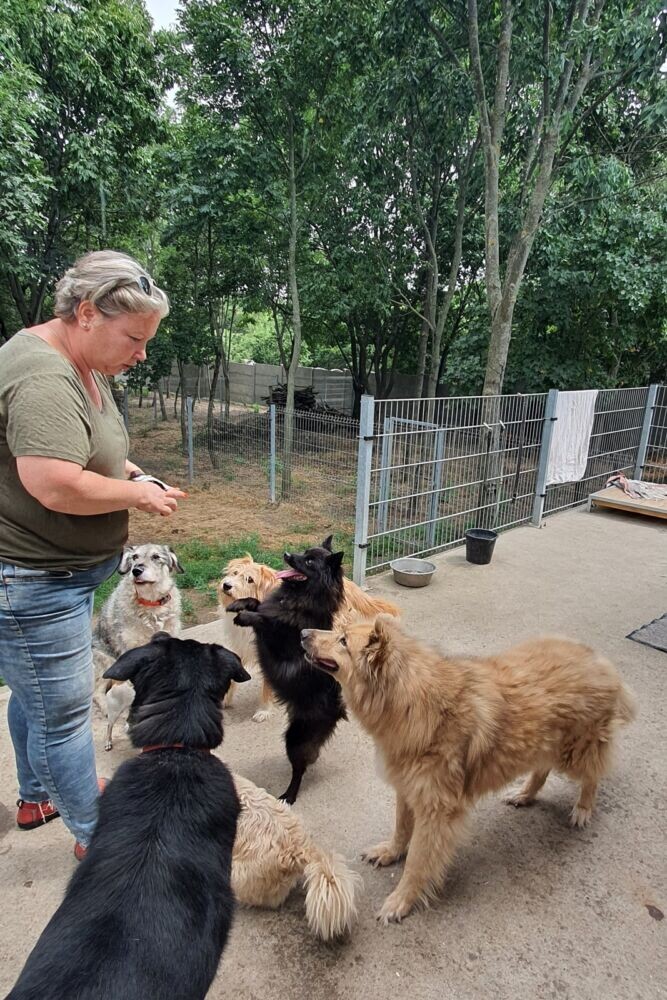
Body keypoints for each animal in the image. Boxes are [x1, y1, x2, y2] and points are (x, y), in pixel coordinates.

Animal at [93, 543, 184, 750]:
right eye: (134, 557)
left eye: (156, 557)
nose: (136, 570)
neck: (151, 604)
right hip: (106, 661)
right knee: (97, 692)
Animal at [218, 553, 401, 722]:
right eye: (234, 573)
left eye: (249, 580)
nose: (226, 585)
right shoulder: (242, 645)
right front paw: (224, 699)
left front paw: (263, 710)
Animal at [227, 536, 348, 804]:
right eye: (304, 552)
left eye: (310, 561)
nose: (286, 554)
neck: (296, 601)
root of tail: (339, 709)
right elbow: (258, 603)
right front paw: (239, 604)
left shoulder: (281, 644)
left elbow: (267, 621)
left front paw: (246, 616)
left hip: (296, 737)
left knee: (299, 769)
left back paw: (288, 796)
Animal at [302, 616, 637, 924]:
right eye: (337, 631)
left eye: (343, 641)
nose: (303, 633)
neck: (413, 702)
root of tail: (598, 659)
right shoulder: (408, 790)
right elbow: (401, 830)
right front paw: (389, 853)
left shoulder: (436, 812)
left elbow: (417, 862)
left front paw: (401, 901)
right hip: (544, 744)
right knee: (541, 770)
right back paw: (525, 795)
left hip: (575, 752)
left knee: (592, 775)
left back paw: (582, 809)